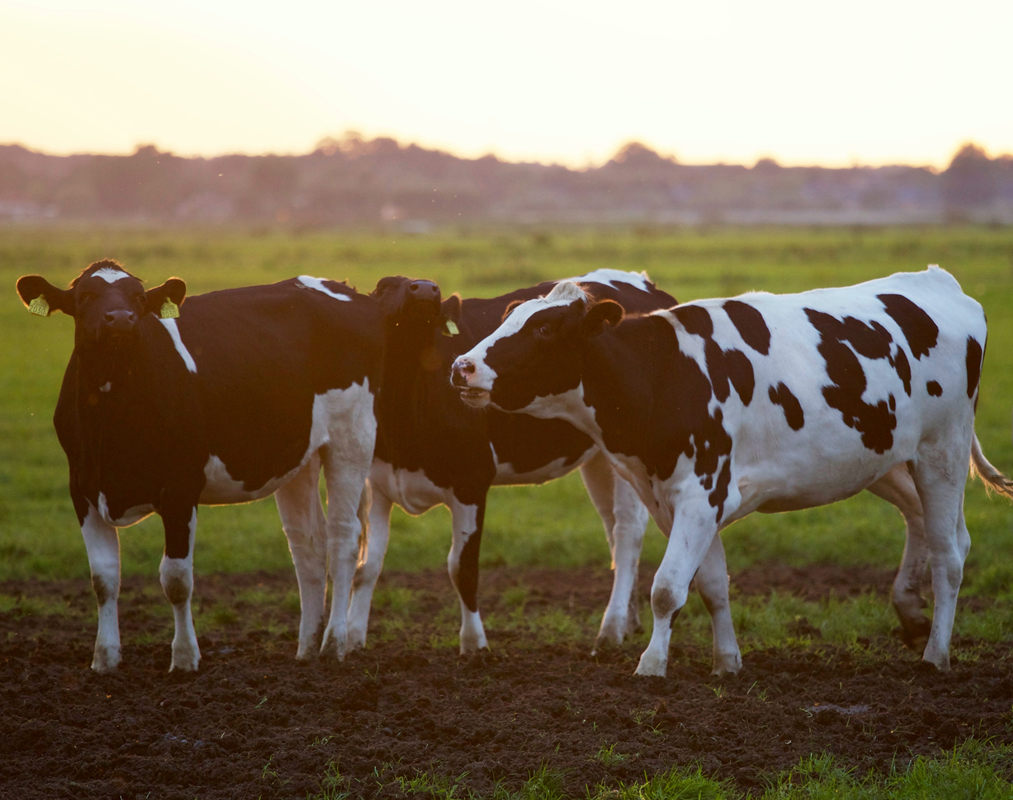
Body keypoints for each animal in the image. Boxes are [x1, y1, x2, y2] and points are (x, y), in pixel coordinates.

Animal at [17, 261, 380, 672]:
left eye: (138, 298)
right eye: (85, 297)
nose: (121, 319)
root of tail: (342, 287)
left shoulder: (180, 489)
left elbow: (176, 579)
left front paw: (185, 658)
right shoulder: (83, 489)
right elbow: (103, 578)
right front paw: (105, 659)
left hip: (352, 437)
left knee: (343, 538)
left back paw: (334, 644)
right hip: (299, 455)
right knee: (308, 544)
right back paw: (305, 648)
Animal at [344, 273, 676, 656]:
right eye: (385, 286)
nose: (425, 288)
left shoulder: (471, 481)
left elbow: (462, 568)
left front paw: (474, 645)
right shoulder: (378, 484)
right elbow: (367, 566)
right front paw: (352, 640)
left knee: (627, 533)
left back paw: (610, 629)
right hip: (600, 459)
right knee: (612, 531)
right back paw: (629, 620)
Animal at [455, 267, 1013, 676]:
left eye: (544, 328)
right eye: (509, 317)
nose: (462, 366)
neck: (663, 375)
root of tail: (939, 281)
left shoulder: (701, 494)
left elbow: (666, 588)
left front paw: (651, 665)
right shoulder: (676, 500)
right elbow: (710, 585)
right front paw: (727, 662)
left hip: (942, 451)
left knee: (949, 555)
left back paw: (936, 655)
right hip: (884, 459)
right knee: (933, 527)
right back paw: (911, 613)